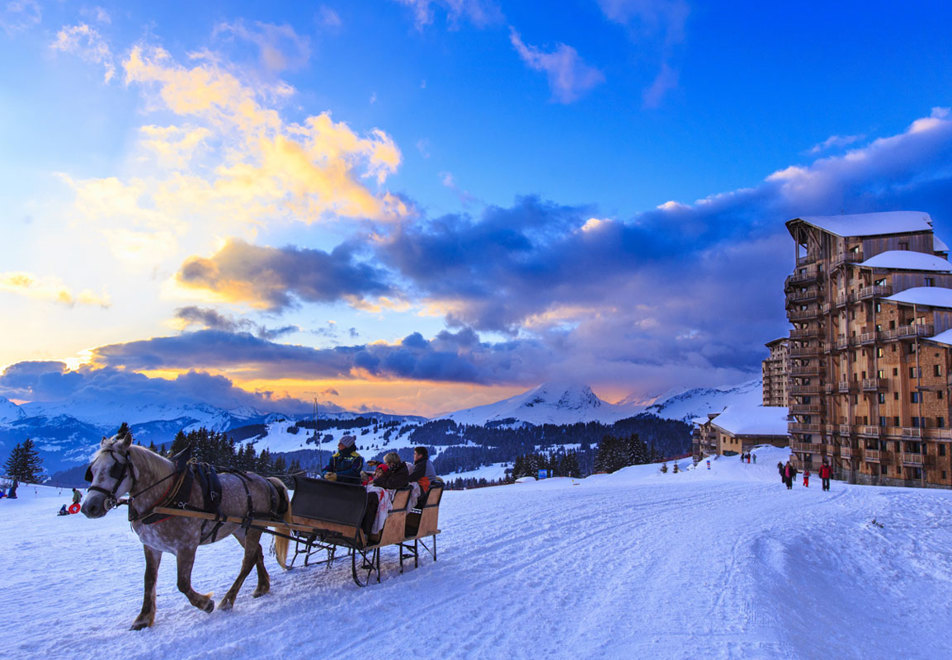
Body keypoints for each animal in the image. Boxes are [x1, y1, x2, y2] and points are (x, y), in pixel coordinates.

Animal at [82, 434, 294, 628]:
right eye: (92, 470)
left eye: (115, 469)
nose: (88, 507)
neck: (166, 495)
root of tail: (266, 480)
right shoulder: (152, 546)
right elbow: (149, 580)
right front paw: (143, 618)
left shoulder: (186, 546)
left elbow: (182, 583)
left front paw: (206, 603)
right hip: (242, 528)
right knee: (256, 552)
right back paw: (262, 587)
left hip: (253, 526)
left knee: (248, 560)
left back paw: (228, 600)